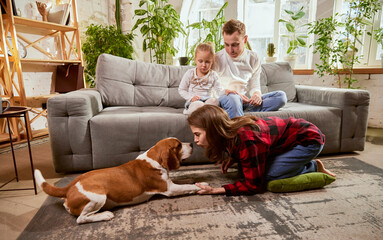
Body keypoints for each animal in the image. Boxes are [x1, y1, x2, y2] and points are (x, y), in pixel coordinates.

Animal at [34, 138, 202, 224]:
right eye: (178, 145)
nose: (192, 144)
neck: (154, 159)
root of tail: (68, 187)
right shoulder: (170, 190)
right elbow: (187, 186)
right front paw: (201, 186)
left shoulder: (171, 184)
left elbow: (186, 181)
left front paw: (194, 179)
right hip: (99, 197)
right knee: (81, 219)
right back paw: (105, 215)